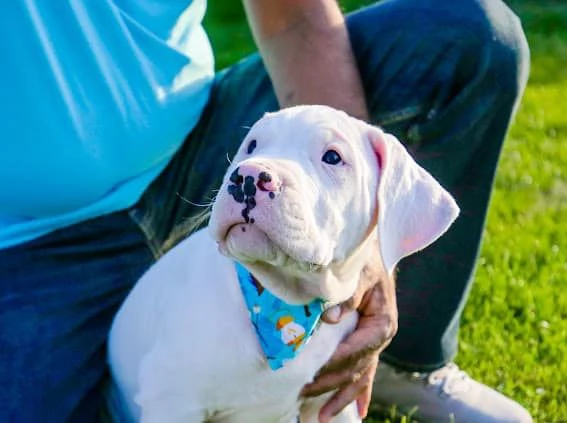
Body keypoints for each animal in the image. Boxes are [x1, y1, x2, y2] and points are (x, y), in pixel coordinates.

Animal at [107, 106, 462, 423]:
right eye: (252, 145)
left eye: (332, 157)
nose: (248, 176)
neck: (281, 298)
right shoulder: (173, 400)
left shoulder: (333, 405)